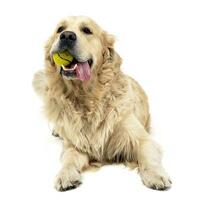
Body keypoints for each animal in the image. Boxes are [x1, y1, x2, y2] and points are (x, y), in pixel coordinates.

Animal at [32, 16, 170, 191]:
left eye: (87, 30)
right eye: (60, 29)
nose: (66, 36)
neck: (87, 97)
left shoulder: (142, 139)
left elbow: (148, 156)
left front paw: (156, 175)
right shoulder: (75, 145)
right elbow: (69, 158)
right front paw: (65, 175)